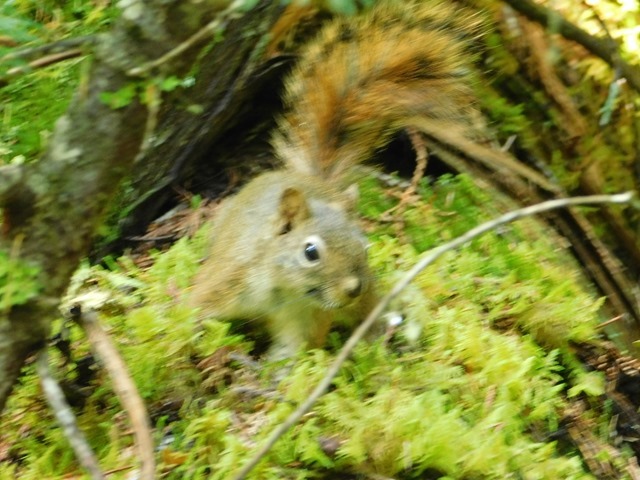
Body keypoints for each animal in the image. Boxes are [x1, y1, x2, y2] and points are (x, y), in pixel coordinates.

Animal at [188, 0, 482, 360]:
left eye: (364, 246)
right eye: (310, 252)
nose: (353, 289)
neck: (282, 288)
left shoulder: (305, 316)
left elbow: (293, 354)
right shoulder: (227, 278)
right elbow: (192, 309)